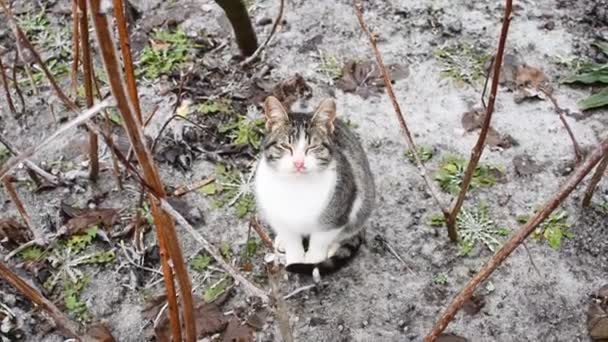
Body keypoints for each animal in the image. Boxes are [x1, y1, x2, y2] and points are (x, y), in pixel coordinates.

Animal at [253, 95, 376, 276]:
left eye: (312, 147)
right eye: (285, 146)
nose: (298, 163)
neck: (297, 188)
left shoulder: (335, 217)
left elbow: (319, 242)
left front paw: (312, 262)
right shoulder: (278, 215)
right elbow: (292, 240)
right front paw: (294, 258)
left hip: (363, 201)